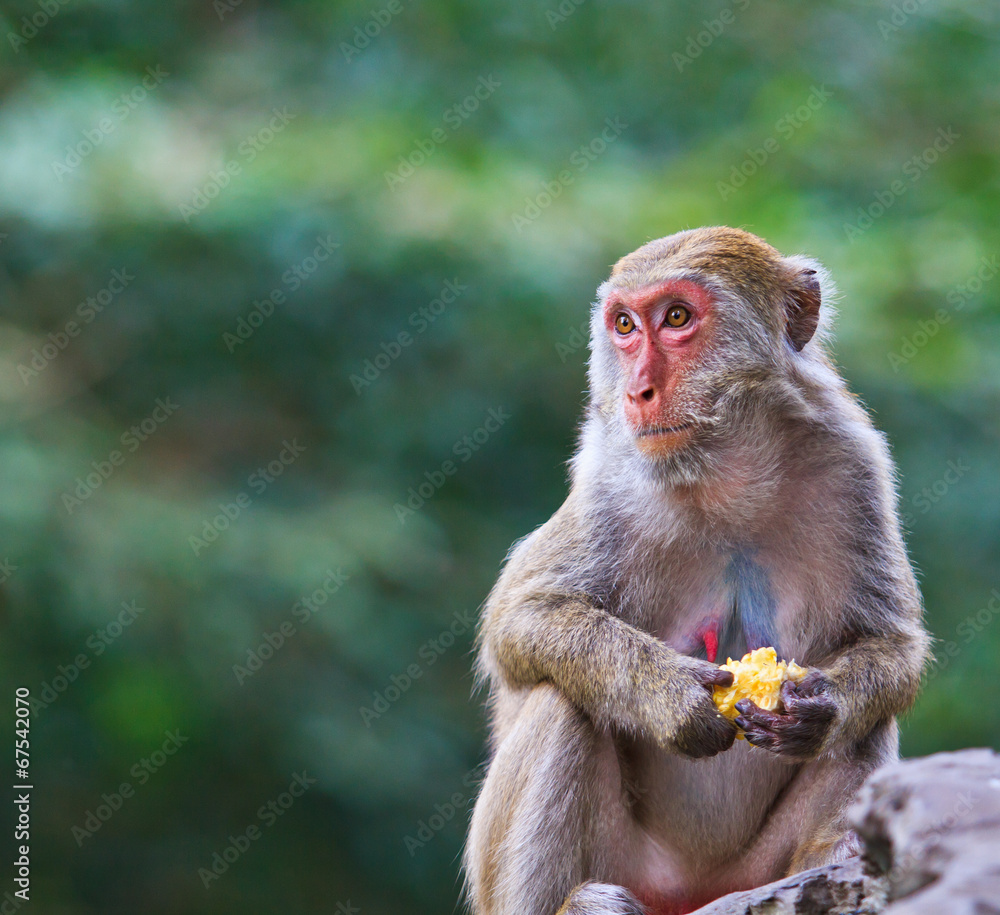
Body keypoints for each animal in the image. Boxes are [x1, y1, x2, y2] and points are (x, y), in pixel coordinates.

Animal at [464, 227, 929, 915]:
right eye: (625, 325)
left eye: (678, 318)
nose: (638, 391)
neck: (725, 475)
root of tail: (691, 891)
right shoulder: (606, 481)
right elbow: (521, 622)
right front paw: (671, 697)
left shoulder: (857, 465)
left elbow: (891, 644)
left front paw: (820, 708)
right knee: (563, 701)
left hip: (754, 873)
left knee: (867, 729)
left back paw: (840, 862)